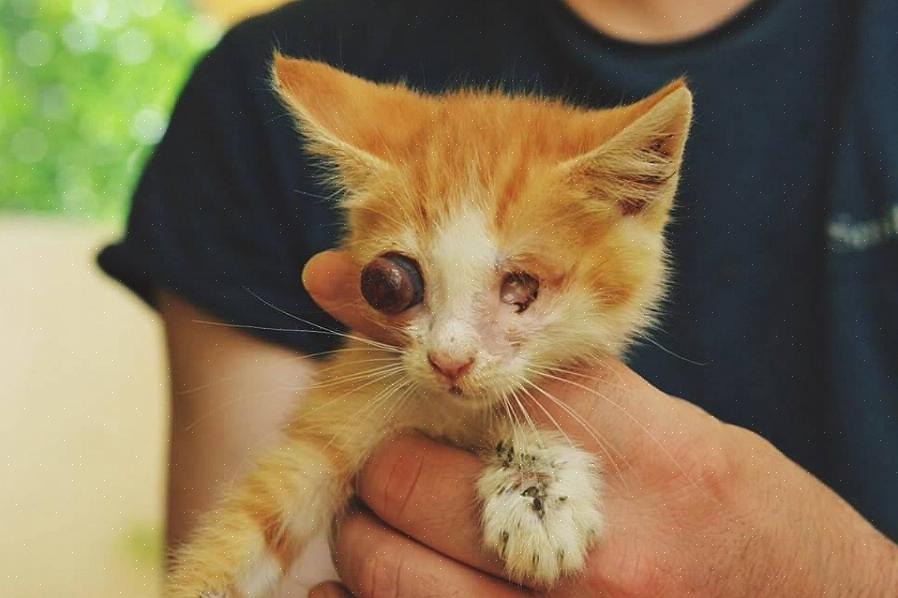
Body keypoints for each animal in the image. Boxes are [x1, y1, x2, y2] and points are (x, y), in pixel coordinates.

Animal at [164, 54, 688, 596]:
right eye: (388, 283)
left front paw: (540, 489)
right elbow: (251, 525)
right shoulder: (341, 412)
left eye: (522, 287)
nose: (449, 360)